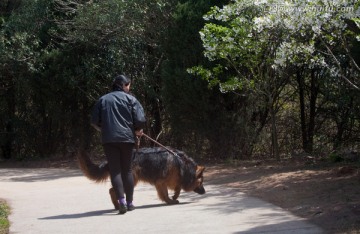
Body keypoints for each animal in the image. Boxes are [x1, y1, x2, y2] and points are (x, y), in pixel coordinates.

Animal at [76, 147, 205, 209]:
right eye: (201, 182)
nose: (204, 192)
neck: (182, 163)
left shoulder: (173, 179)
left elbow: (177, 187)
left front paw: (174, 196)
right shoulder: (161, 182)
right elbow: (166, 193)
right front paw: (170, 200)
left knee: (113, 190)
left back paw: (117, 205)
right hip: (131, 179)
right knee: (112, 190)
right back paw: (118, 205)